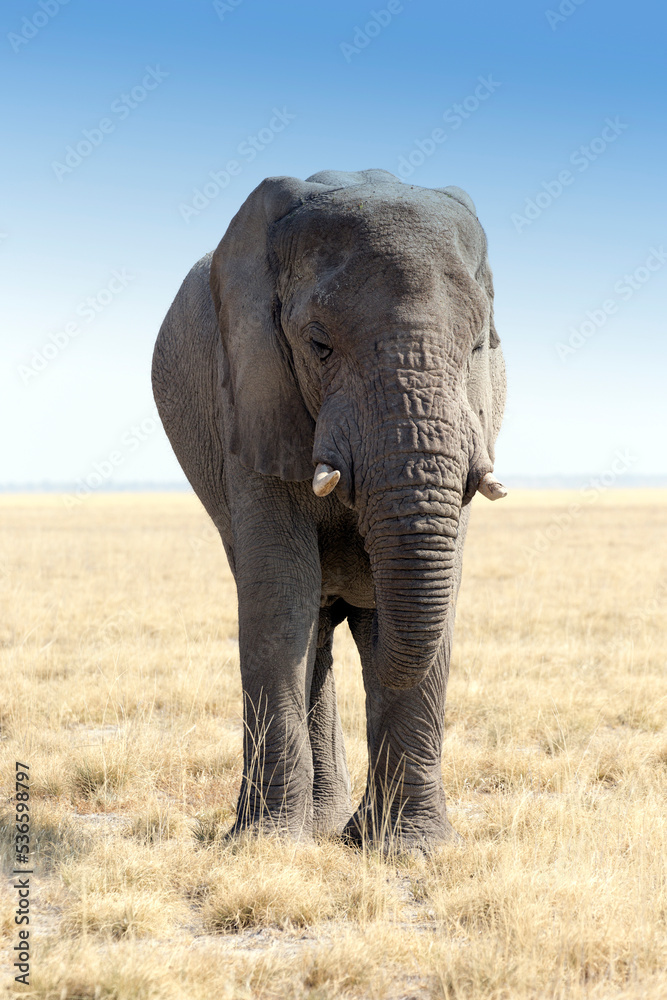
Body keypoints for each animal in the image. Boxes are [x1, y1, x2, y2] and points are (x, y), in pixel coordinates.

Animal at [152, 168, 507, 850]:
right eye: (319, 345)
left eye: (480, 346)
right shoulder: (250, 395)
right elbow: (281, 589)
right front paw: (266, 846)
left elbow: (436, 593)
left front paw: (408, 849)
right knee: (305, 615)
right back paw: (312, 825)